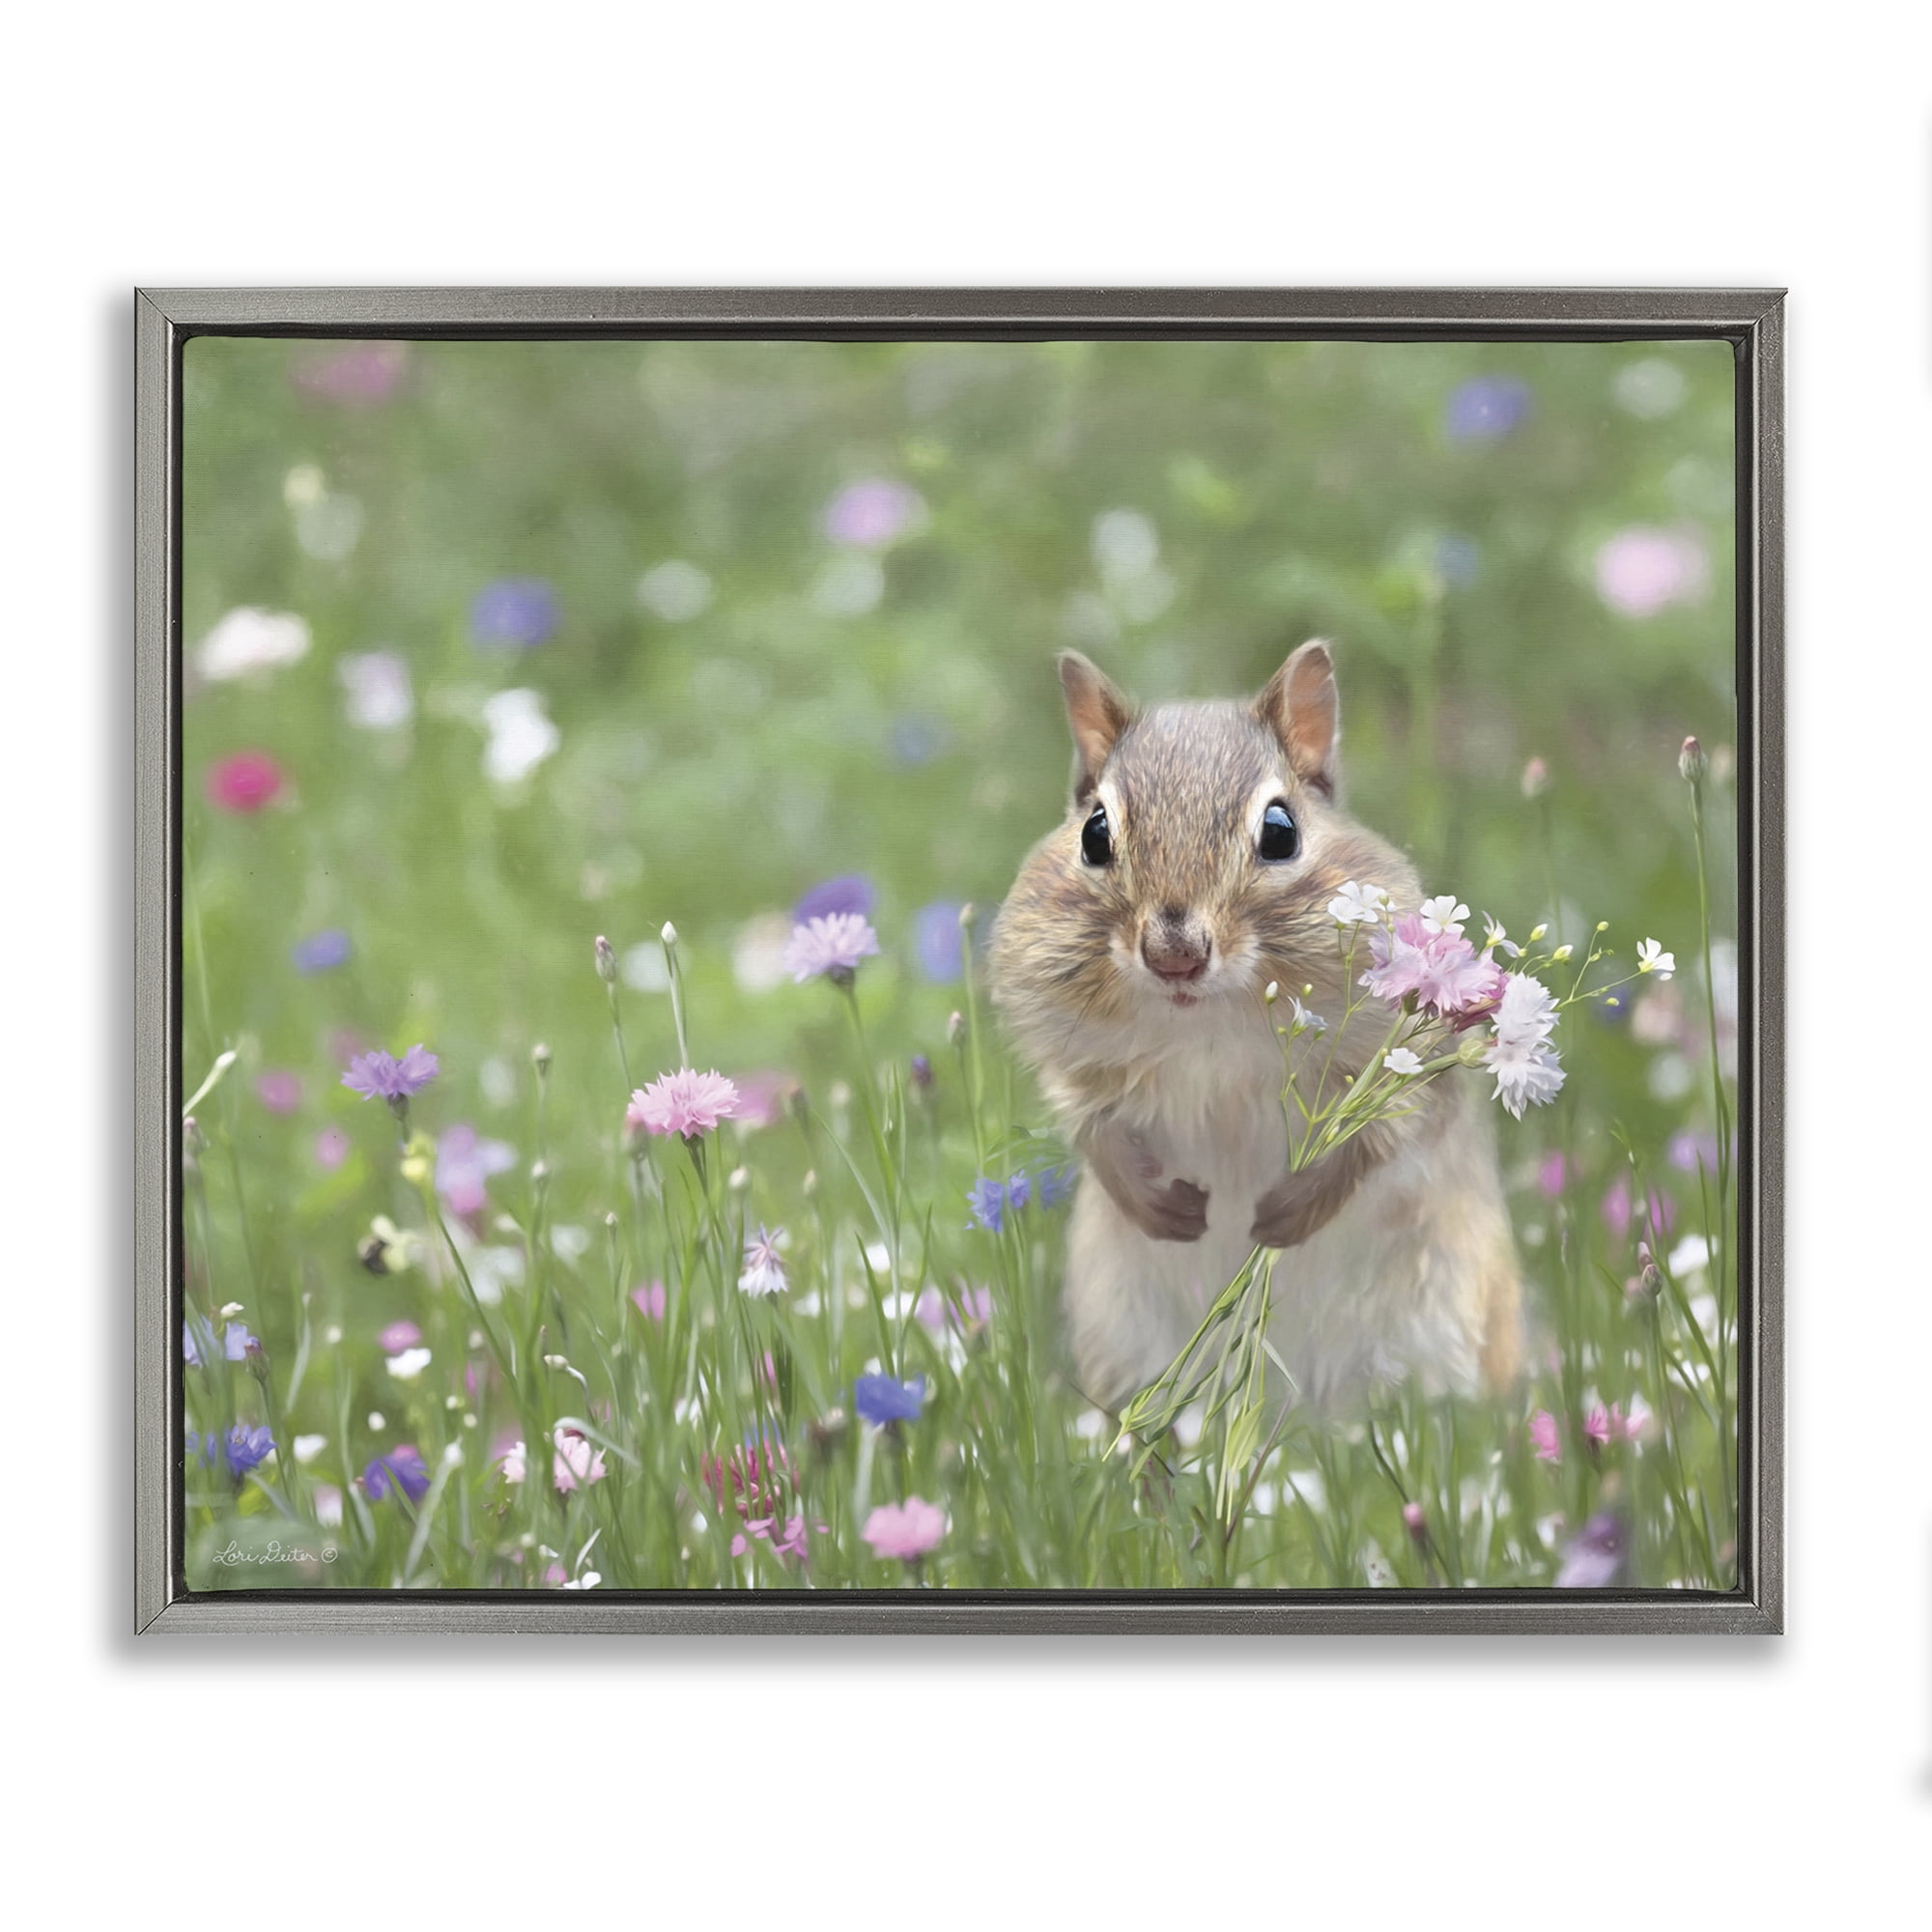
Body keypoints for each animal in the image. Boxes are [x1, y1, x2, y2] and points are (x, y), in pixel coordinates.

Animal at [989, 641, 1522, 1412]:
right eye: (1094, 833)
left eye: (1280, 832)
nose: (1174, 955)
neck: (1207, 1023)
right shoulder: (1073, 1059)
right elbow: (1091, 1127)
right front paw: (1161, 1208)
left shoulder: (1406, 1062)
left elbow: (1381, 1138)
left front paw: (1285, 1215)